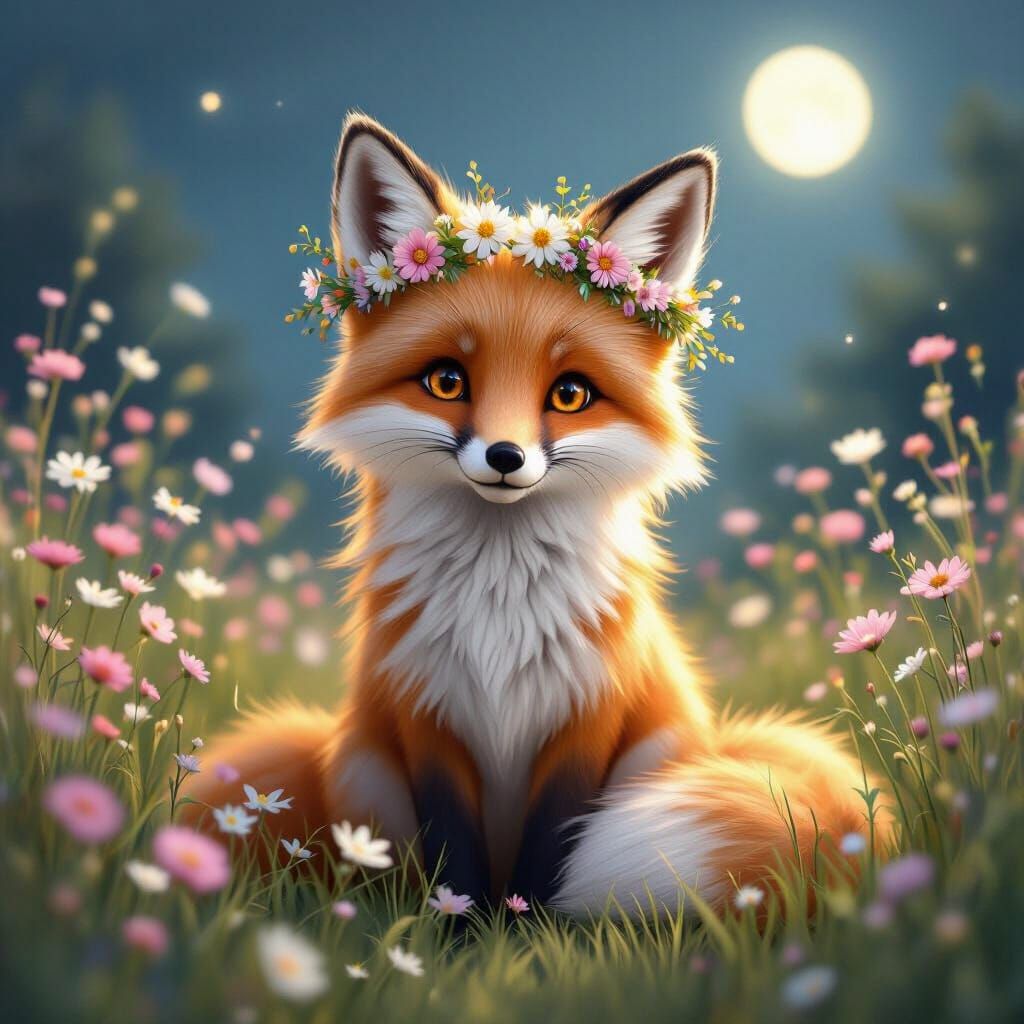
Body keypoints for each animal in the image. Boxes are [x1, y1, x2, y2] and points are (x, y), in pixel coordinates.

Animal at [188, 113, 891, 916]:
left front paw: (532, 925)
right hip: (365, 767)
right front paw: (460, 928)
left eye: (570, 394)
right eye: (446, 380)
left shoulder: (587, 717)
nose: (505, 456)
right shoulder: (427, 716)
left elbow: (553, 844)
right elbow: (455, 855)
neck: (499, 611)